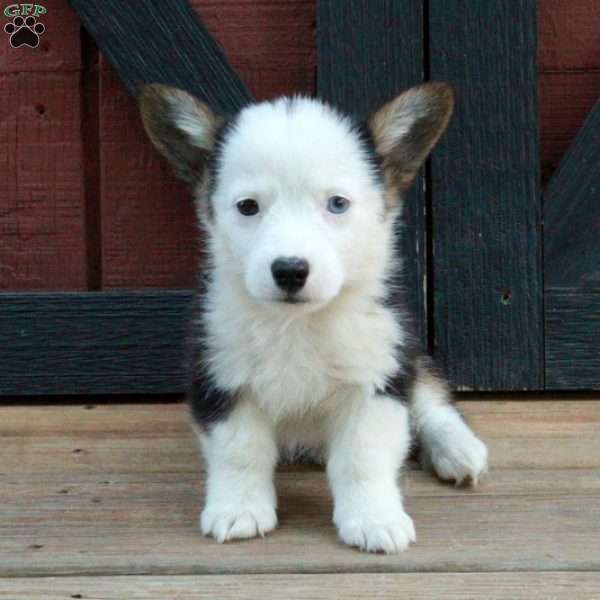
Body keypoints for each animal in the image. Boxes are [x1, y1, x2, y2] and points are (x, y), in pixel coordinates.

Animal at [139, 83, 488, 552]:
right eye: (247, 207)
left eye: (337, 204)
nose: (289, 270)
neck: (298, 325)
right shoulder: (221, 375)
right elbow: (240, 453)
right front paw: (239, 510)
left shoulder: (376, 378)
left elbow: (362, 458)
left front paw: (374, 519)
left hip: (409, 351)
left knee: (432, 401)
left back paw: (458, 450)